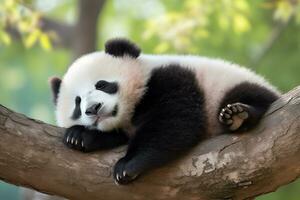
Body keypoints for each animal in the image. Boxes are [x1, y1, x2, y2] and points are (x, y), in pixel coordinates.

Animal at [49, 38, 282, 185]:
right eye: (78, 103)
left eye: (102, 85)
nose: (92, 109)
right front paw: (79, 136)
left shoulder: (171, 78)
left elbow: (174, 121)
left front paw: (128, 165)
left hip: (232, 86)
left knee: (249, 95)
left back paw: (237, 115)